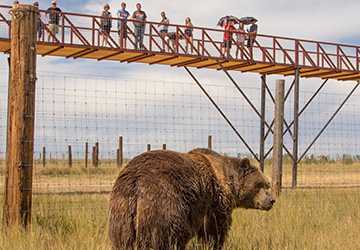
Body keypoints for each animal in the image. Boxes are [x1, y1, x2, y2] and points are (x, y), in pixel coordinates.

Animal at [108, 149, 274, 249]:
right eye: (262, 184)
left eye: (267, 183)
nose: (272, 200)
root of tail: (136, 182)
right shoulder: (215, 202)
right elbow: (214, 230)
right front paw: (214, 244)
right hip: (163, 204)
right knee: (168, 237)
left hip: (122, 213)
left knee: (123, 241)